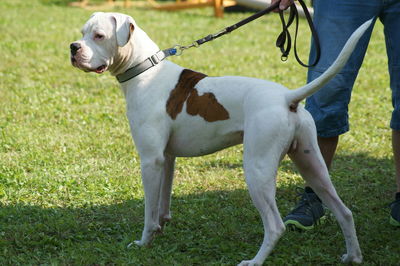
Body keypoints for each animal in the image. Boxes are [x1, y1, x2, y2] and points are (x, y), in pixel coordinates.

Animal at [71, 13, 372, 266]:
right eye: (82, 32)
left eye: (99, 35)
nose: (73, 48)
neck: (146, 71)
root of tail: (287, 97)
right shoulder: (167, 158)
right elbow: (162, 204)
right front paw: (160, 230)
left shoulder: (150, 161)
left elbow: (149, 211)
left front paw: (144, 241)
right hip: (312, 166)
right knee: (344, 212)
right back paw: (353, 256)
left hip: (257, 170)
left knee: (275, 225)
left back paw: (254, 261)